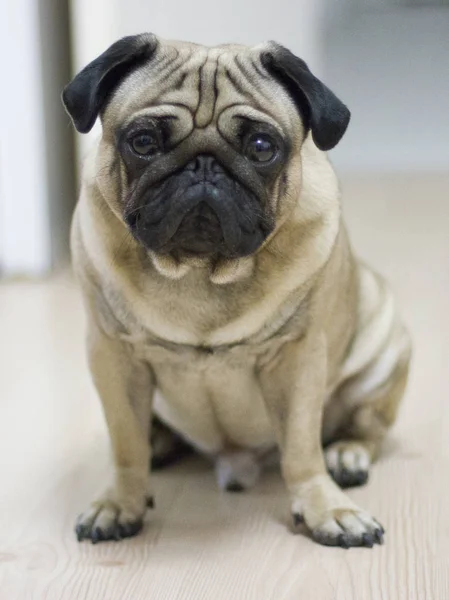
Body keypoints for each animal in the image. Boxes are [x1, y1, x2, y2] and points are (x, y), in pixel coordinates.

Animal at [62, 32, 410, 548]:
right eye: (142, 142)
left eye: (262, 147)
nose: (204, 165)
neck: (200, 271)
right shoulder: (113, 355)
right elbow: (125, 442)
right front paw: (120, 501)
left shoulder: (298, 359)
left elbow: (301, 448)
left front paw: (325, 507)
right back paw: (158, 443)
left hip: (386, 349)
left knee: (366, 426)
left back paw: (346, 454)